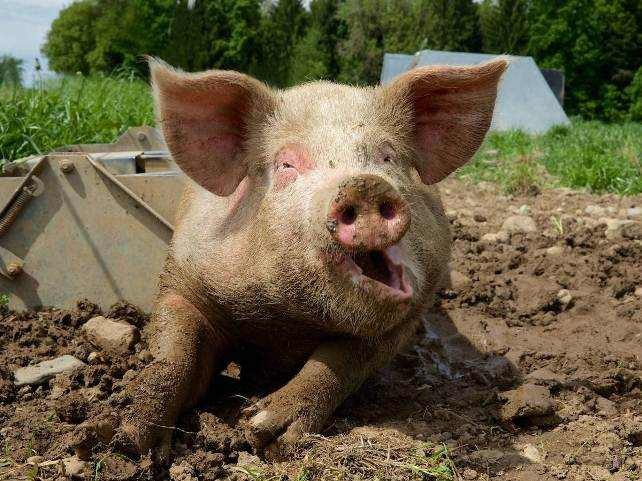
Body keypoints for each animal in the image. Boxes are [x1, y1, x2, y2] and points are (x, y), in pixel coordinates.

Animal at [114, 57, 504, 454]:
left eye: (388, 156)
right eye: (286, 164)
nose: (365, 184)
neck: (289, 321)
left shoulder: (404, 320)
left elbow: (338, 363)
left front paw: (261, 430)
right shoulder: (182, 280)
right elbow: (173, 352)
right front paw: (133, 439)